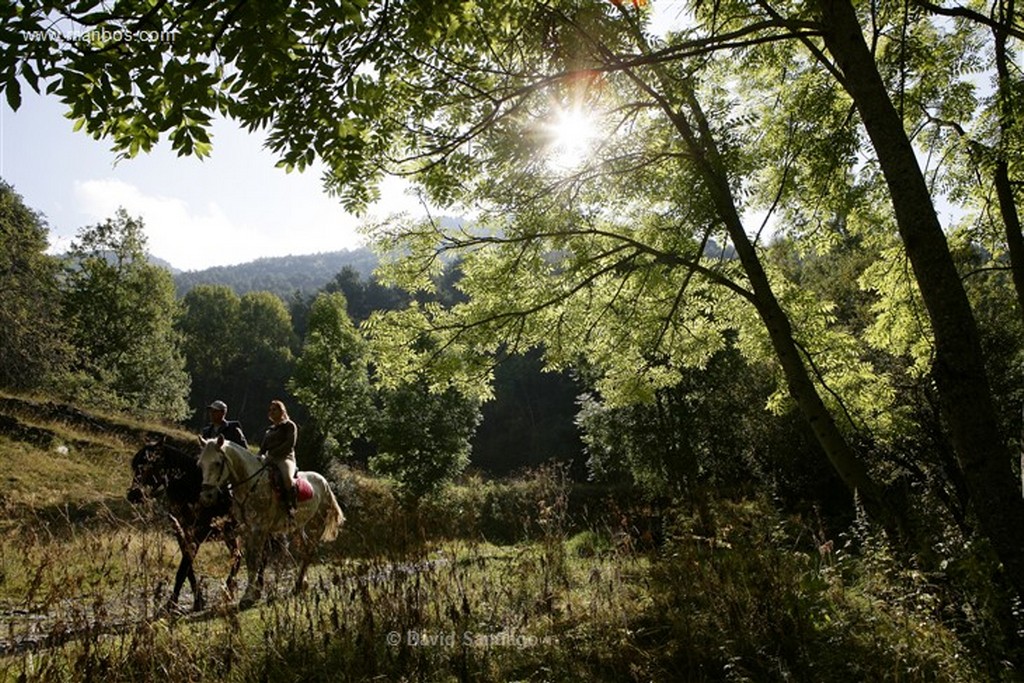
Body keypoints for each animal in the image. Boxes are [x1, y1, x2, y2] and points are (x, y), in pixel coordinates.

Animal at [124, 438, 240, 614]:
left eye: (150, 465)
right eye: (135, 465)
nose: (134, 495)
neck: (192, 491)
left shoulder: (197, 536)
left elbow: (182, 569)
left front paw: (171, 603)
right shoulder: (182, 535)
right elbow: (188, 568)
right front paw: (198, 601)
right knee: (238, 557)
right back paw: (228, 593)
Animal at [195, 436, 344, 606]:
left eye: (217, 463)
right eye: (200, 464)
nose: (206, 497)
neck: (252, 484)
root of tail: (324, 482)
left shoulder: (258, 529)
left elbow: (254, 560)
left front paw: (248, 596)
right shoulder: (248, 530)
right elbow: (252, 560)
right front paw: (255, 593)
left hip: (315, 526)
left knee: (309, 551)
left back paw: (298, 585)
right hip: (300, 527)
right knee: (305, 550)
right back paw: (300, 584)